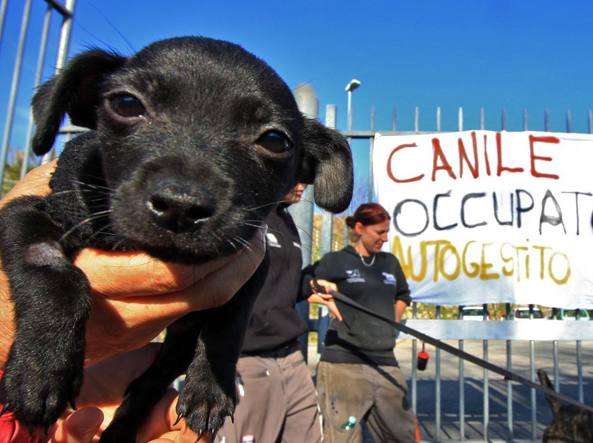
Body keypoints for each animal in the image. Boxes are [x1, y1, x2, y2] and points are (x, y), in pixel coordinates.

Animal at [0, 36, 352, 442]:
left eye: (275, 140)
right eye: (126, 103)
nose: (180, 205)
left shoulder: (249, 267)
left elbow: (228, 323)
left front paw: (210, 388)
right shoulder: (28, 212)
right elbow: (53, 272)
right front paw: (41, 369)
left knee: (151, 382)